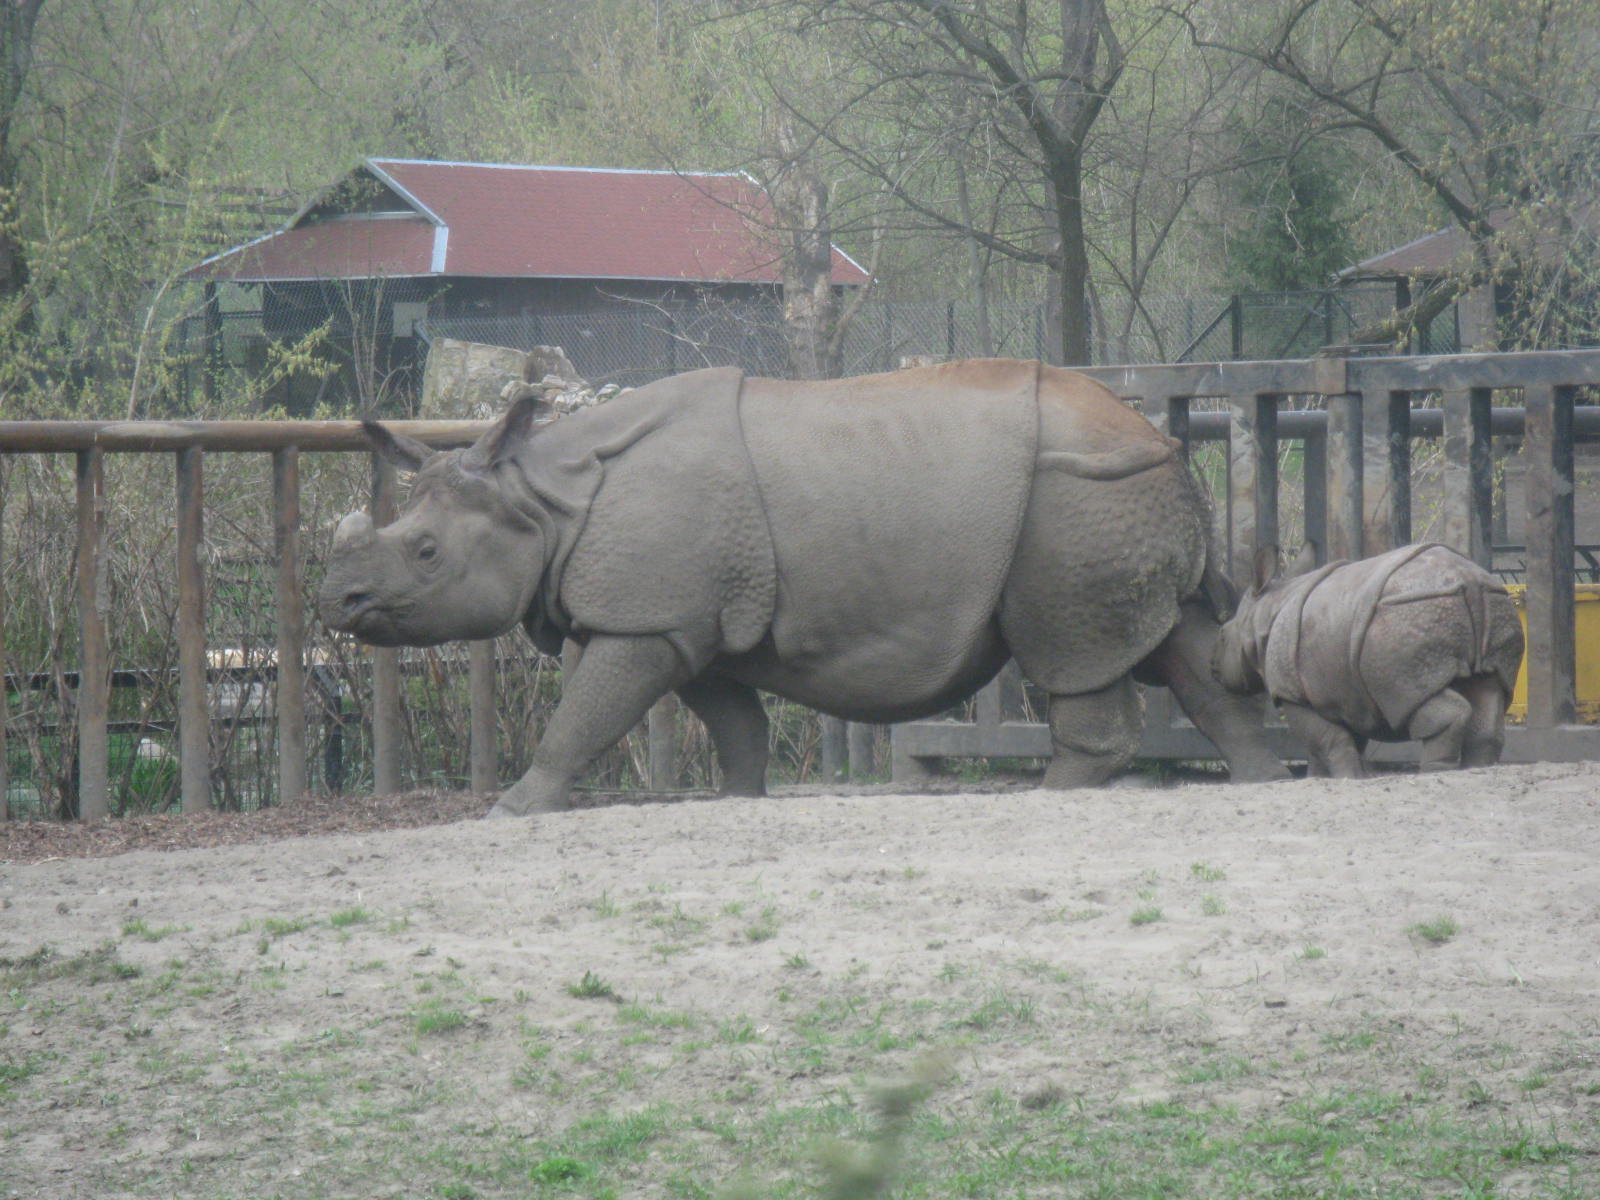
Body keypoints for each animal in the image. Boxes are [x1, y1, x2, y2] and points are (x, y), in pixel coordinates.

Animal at [319, 358, 1289, 815]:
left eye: (426, 554)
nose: (340, 605)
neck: (543, 501)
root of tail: (1160, 438)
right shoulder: (688, 621)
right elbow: (735, 722)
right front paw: (738, 801)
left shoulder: (642, 620)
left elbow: (584, 712)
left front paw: (514, 808)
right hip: (1117, 490)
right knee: (1184, 641)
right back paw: (1257, 781)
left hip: (1076, 492)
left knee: (1074, 649)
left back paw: (1053, 796)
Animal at [1213, 542, 1526, 778]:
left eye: (1224, 635)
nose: (1215, 670)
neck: (1263, 612)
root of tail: (1469, 582)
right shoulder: (1344, 693)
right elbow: (1337, 741)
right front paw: (1326, 777)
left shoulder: (1291, 693)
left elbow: (1325, 739)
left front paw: (1346, 777)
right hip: (1493, 606)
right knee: (1489, 690)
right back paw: (1476, 768)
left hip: (1405, 618)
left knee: (1416, 694)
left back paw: (1434, 771)